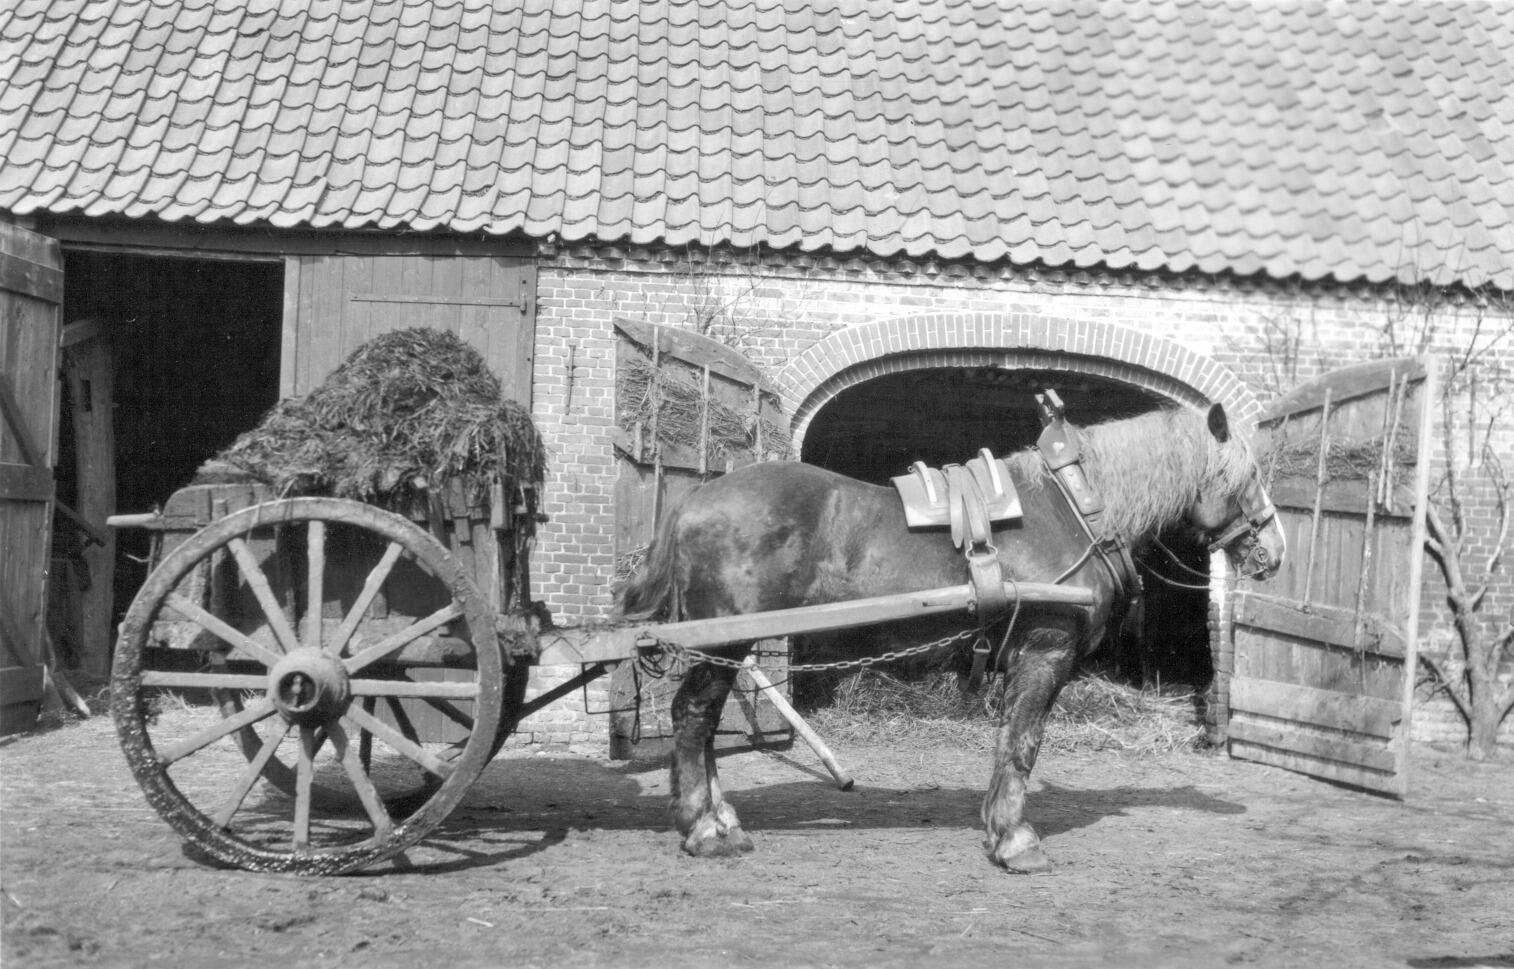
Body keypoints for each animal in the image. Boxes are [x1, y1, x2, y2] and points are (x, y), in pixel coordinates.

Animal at [614, 403, 1285, 872]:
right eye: (1248, 473)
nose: (1275, 550)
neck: (1074, 509)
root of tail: (695, 500)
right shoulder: (1046, 651)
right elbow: (1024, 744)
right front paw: (1015, 840)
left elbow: (1009, 742)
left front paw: (997, 825)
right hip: (721, 644)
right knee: (693, 716)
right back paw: (703, 828)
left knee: (703, 723)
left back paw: (721, 819)